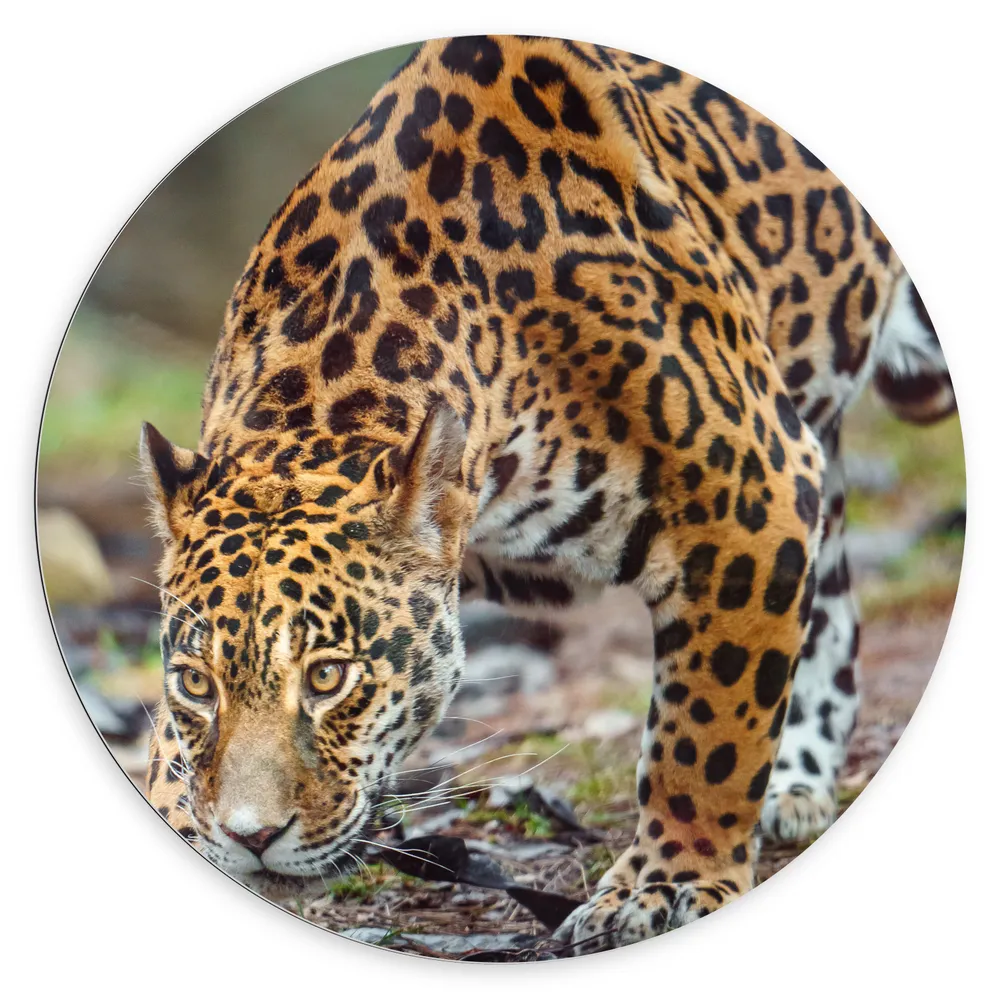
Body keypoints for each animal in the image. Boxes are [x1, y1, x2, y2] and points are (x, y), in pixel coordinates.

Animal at [141, 35, 954, 955]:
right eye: (196, 683)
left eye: (328, 677)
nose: (249, 837)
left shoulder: (751, 489)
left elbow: (709, 727)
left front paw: (670, 882)